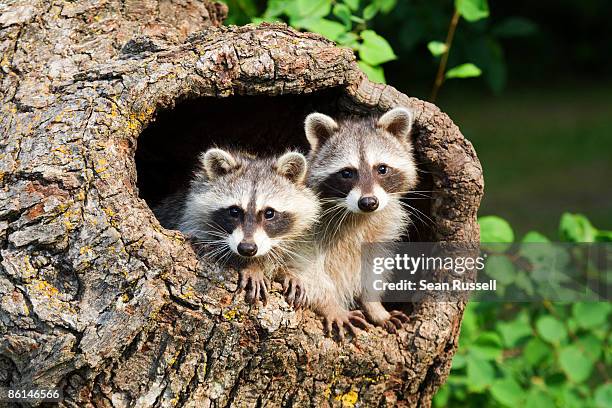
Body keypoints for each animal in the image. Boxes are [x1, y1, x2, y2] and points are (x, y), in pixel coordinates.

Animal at [154, 148, 320, 304]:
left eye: (269, 213)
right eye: (234, 211)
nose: (247, 249)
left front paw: (288, 271)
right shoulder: (190, 222)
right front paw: (251, 266)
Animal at [290, 106, 418, 338]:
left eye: (382, 169)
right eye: (347, 173)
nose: (368, 202)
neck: (358, 216)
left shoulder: (380, 230)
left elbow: (372, 267)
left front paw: (375, 306)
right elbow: (308, 269)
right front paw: (330, 304)